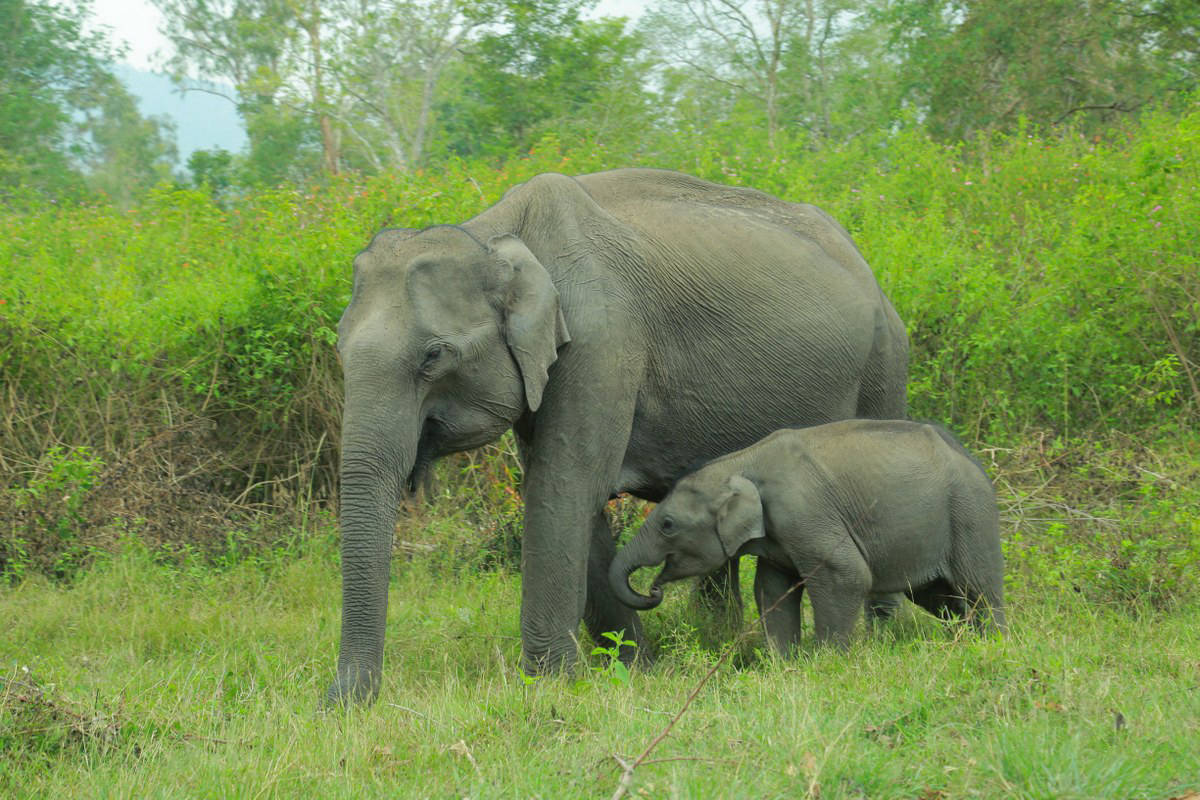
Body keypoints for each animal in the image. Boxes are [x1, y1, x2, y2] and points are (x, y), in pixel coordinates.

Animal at [328, 168, 908, 704]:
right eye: (338, 346)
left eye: (434, 356)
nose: (341, 703)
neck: (491, 233)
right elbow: (569, 495)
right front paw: (634, 669)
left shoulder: (602, 340)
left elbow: (564, 488)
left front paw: (552, 684)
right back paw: (719, 638)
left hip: (884, 360)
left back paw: (886, 641)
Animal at [609, 420, 1006, 652]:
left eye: (667, 524)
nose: (654, 589)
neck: (741, 462)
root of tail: (972, 458)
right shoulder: (777, 535)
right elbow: (771, 589)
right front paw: (784, 662)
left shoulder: (805, 512)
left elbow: (846, 576)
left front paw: (826, 660)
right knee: (941, 597)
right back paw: (964, 642)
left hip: (970, 515)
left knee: (979, 589)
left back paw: (992, 644)